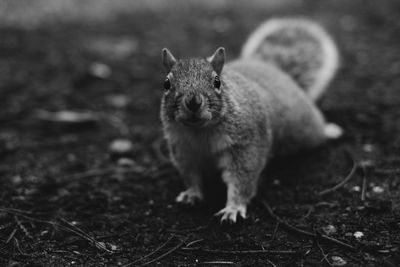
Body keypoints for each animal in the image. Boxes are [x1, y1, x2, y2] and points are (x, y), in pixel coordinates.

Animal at [159, 18, 344, 224]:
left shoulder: (246, 143)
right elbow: (190, 175)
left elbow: (243, 178)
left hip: (306, 127)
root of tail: (275, 71)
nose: (193, 101)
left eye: (217, 82)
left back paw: (330, 130)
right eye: (166, 84)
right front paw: (191, 193)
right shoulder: (183, 149)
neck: (200, 131)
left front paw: (233, 207)